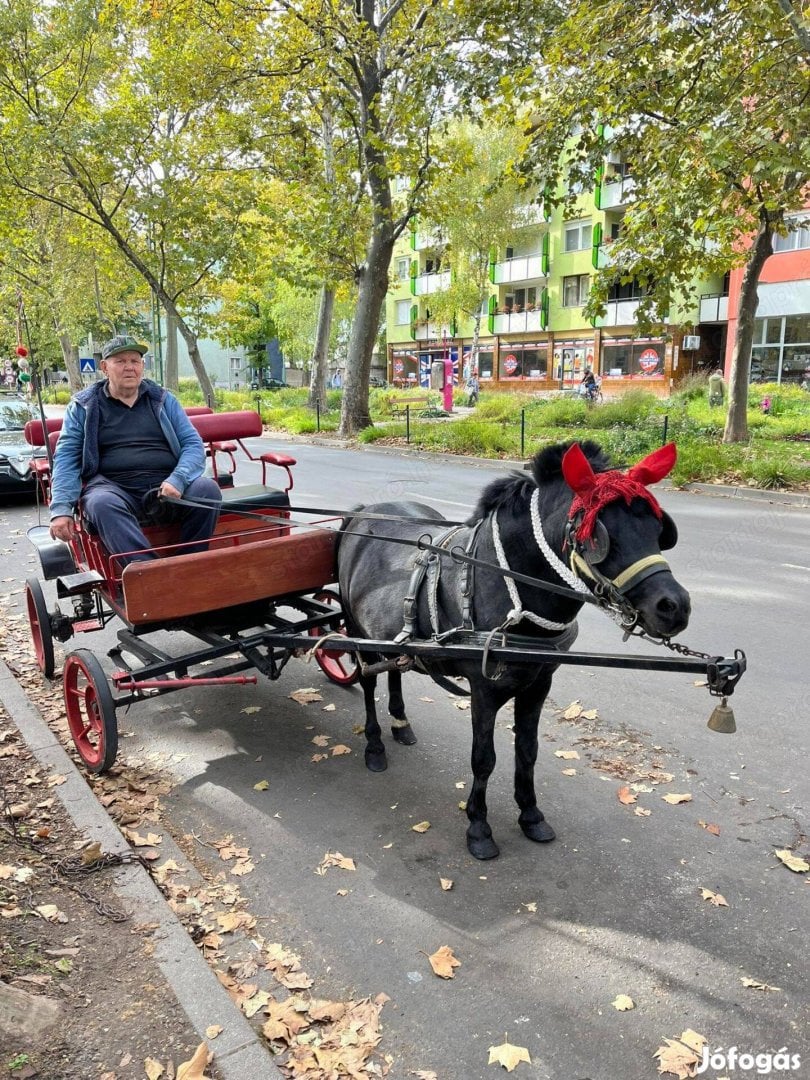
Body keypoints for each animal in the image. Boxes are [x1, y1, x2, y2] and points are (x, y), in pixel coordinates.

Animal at [336, 438, 691, 859]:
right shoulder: (484, 690)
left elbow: (527, 750)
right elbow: (484, 759)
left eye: (658, 528)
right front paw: (478, 827)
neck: (503, 583)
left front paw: (531, 815)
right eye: (598, 537)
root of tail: (361, 512)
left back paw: (401, 723)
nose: (674, 607)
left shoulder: (538, 685)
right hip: (356, 629)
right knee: (369, 682)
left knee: (395, 667)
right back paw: (375, 746)